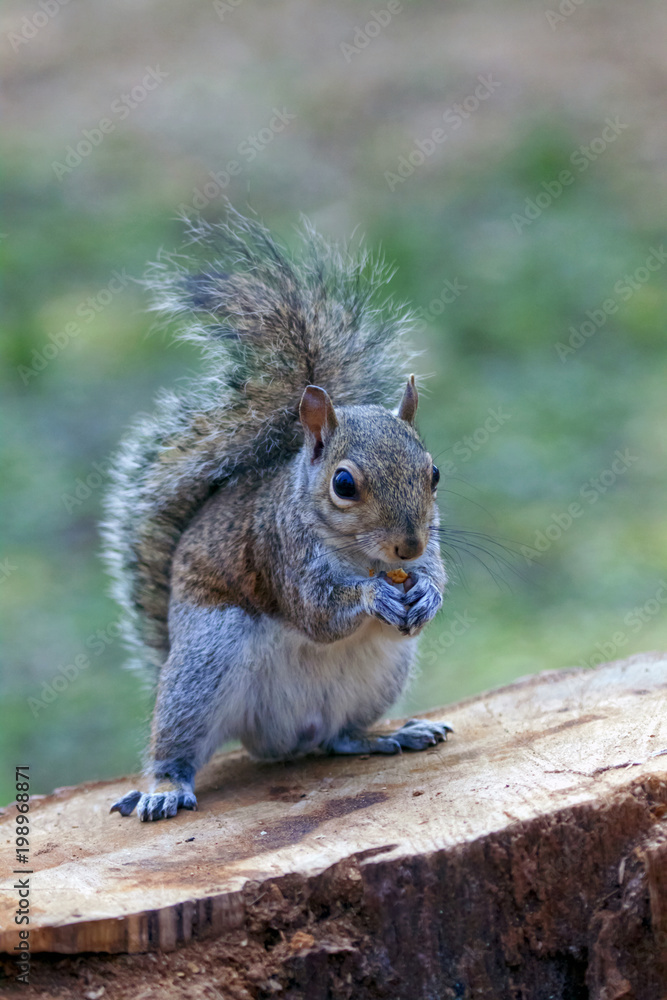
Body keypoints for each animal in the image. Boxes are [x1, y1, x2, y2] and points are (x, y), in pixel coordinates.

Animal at [105, 211, 450, 822]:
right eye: (343, 484)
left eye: (433, 473)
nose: (407, 548)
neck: (359, 555)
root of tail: (286, 738)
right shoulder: (278, 552)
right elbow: (316, 612)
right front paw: (371, 596)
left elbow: (437, 579)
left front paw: (426, 592)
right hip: (203, 667)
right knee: (175, 742)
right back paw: (163, 786)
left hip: (381, 676)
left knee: (340, 738)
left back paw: (388, 735)